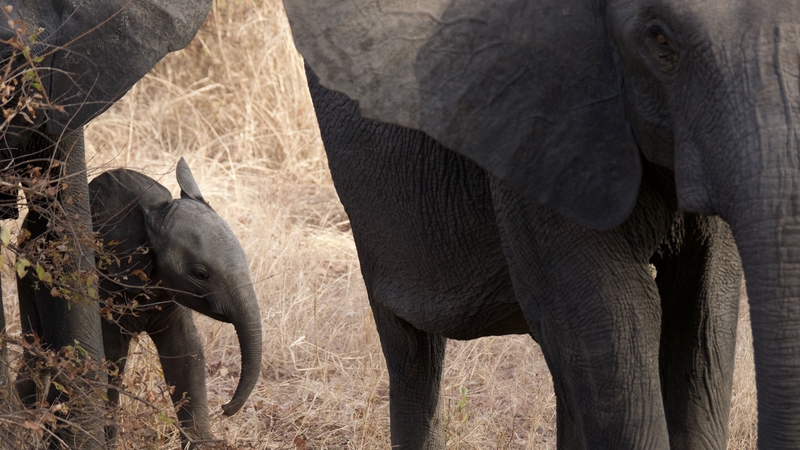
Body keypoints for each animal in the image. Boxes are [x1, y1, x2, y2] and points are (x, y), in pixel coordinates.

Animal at [16, 158, 262, 446]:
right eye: (200, 274)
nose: (225, 408)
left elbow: (186, 355)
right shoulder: (103, 286)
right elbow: (111, 360)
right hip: (29, 271)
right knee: (38, 351)